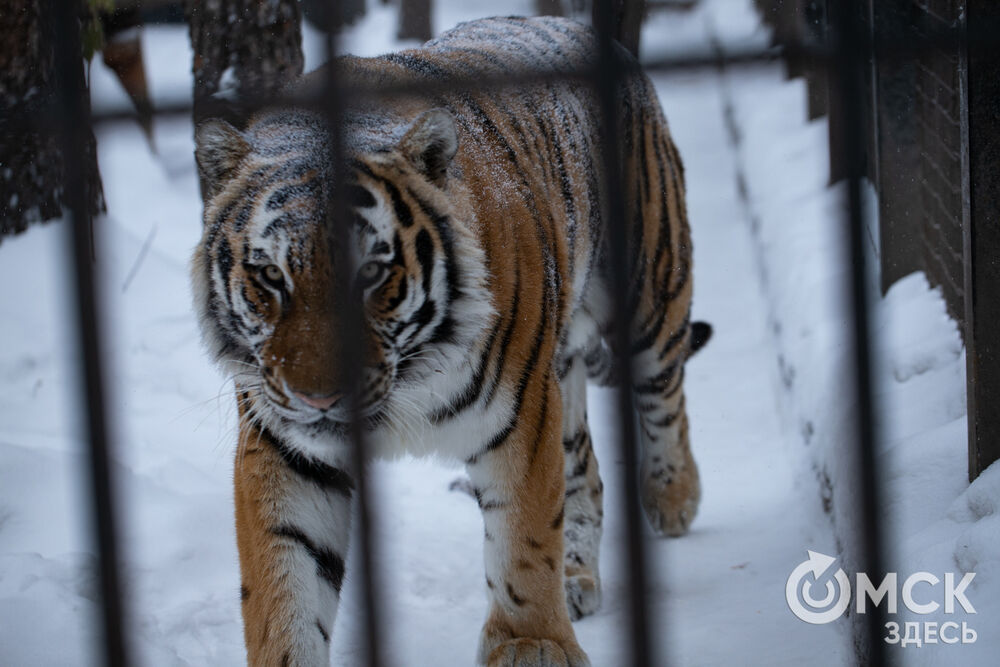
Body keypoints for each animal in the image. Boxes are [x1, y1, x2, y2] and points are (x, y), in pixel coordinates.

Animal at [191, 14, 708, 667]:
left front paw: (531, 642)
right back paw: (576, 576)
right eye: (270, 276)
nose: (319, 400)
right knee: (584, 467)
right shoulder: (285, 442)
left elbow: (522, 534)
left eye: (371, 273)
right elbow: (285, 578)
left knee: (664, 391)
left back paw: (672, 497)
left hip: (649, 285)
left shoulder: (520, 412)